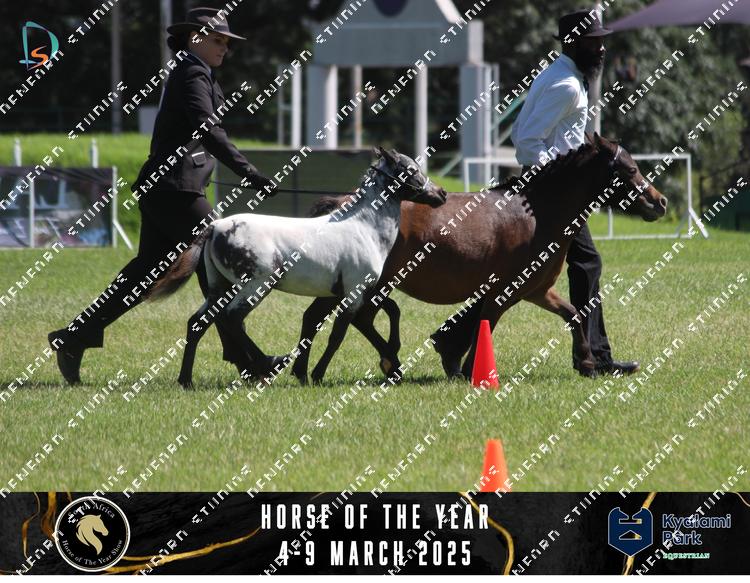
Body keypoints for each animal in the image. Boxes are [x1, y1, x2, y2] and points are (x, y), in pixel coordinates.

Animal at [145, 147, 447, 387]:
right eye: (411, 169)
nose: (441, 194)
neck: (364, 228)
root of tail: (215, 227)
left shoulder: (352, 291)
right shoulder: (352, 293)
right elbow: (338, 334)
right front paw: (317, 374)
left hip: (220, 288)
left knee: (198, 324)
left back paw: (186, 380)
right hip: (255, 286)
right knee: (232, 319)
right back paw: (269, 363)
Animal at [292, 133, 668, 383]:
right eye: (630, 169)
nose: (660, 202)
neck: (536, 215)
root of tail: (343, 202)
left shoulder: (536, 290)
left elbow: (574, 314)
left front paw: (588, 363)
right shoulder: (503, 291)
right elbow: (485, 325)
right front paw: (473, 370)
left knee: (334, 317)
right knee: (338, 318)